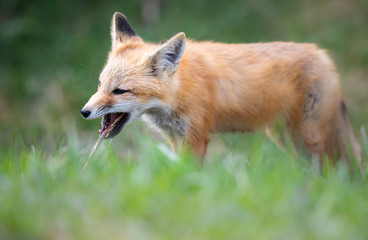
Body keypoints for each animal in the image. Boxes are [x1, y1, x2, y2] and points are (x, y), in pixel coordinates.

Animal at [81, 11, 362, 169]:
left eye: (120, 91)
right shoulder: (175, 137)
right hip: (285, 137)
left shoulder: (195, 138)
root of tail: (322, 54)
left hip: (309, 138)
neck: (178, 92)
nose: (84, 111)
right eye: (100, 84)